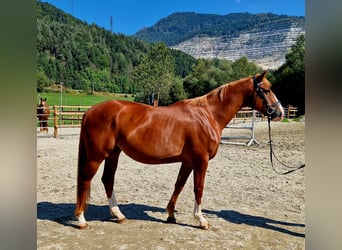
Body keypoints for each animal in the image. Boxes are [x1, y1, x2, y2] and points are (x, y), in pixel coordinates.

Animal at [75, 70, 284, 229]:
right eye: (266, 90)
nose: (280, 113)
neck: (208, 115)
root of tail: (90, 111)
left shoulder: (188, 161)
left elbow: (179, 185)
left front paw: (170, 215)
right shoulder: (201, 160)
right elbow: (198, 188)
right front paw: (201, 220)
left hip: (113, 154)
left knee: (107, 180)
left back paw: (118, 214)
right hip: (96, 156)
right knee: (85, 179)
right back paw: (81, 219)